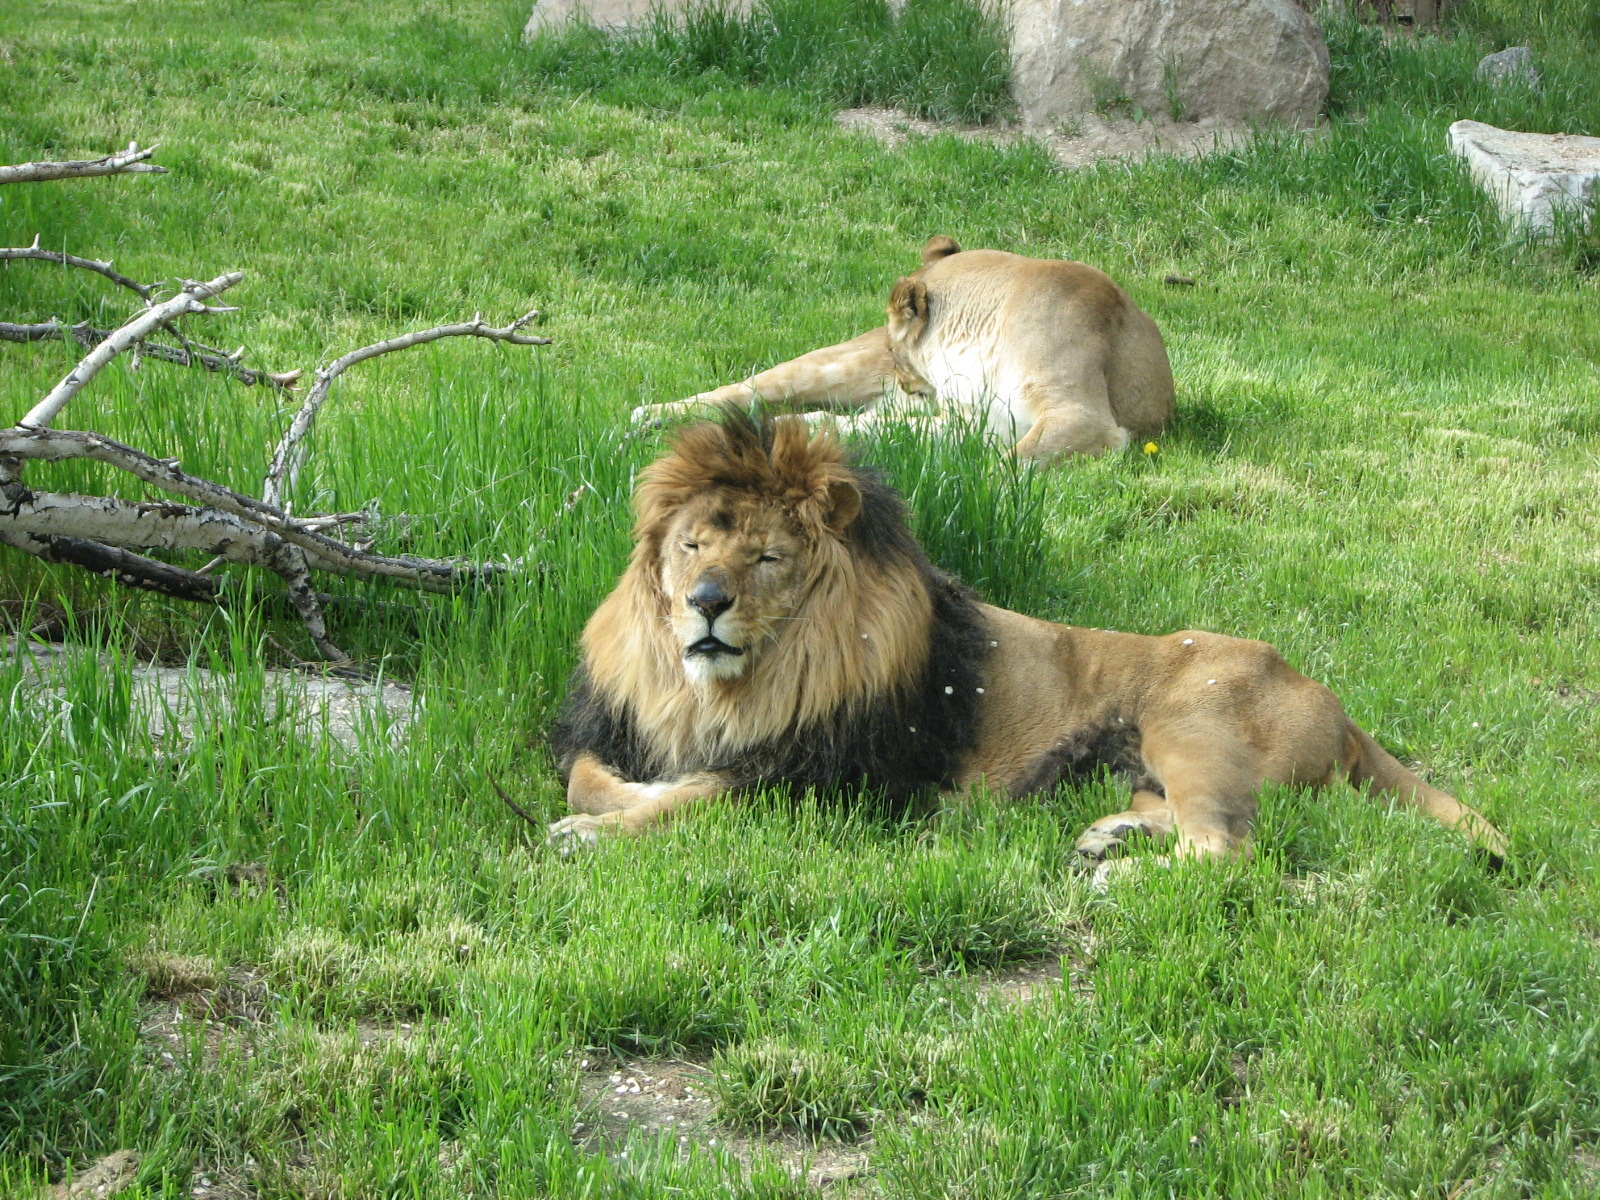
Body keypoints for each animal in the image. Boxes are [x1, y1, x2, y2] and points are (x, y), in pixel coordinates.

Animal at [548, 411, 1507, 863]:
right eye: (692, 546)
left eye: (768, 556)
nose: (706, 602)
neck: (732, 688)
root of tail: (1330, 698)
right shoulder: (627, 723)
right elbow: (588, 776)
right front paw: (615, 800)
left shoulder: (833, 781)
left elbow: (699, 798)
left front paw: (594, 833)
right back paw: (1110, 837)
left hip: (1193, 725)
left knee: (1226, 850)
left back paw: (1123, 875)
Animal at [629, 236, 1175, 465]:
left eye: (900, 349)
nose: (903, 382)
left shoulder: (1080, 418)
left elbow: (1010, 459)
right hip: (825, 367)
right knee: (742, 392)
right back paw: (648, 416)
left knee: (832, 420)